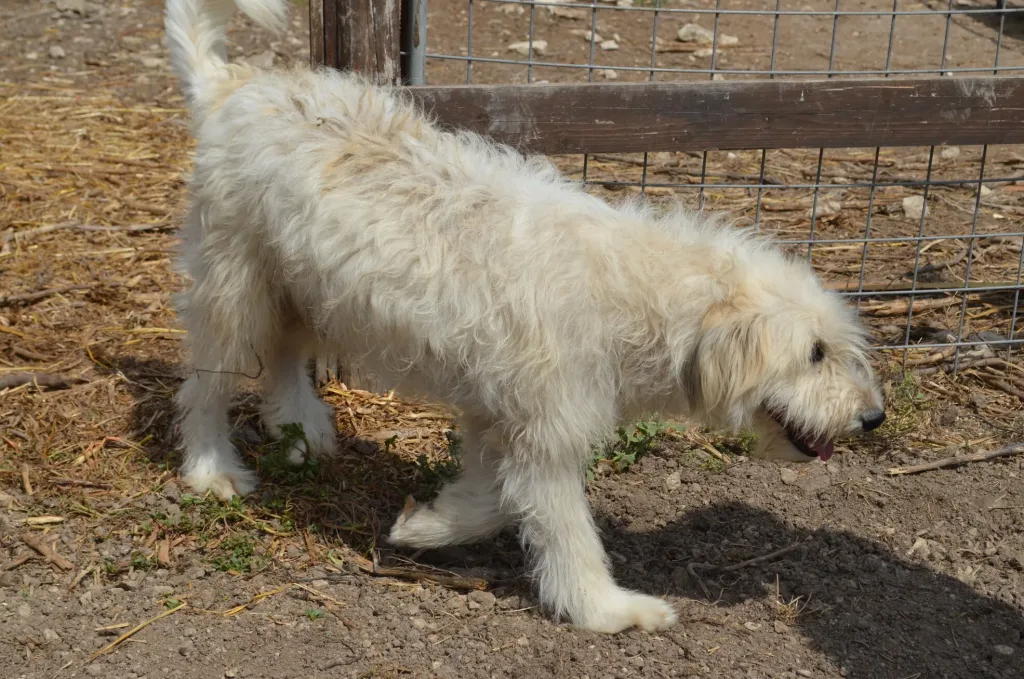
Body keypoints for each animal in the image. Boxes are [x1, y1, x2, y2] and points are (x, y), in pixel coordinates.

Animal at [167, 0, 888, 634]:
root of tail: (237, 85)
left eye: (838, 349)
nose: (872, 417)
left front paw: (428, 523)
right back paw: (212, 470)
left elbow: (490, 498)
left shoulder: (501, 412)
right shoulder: (548, 431)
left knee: (284, 356)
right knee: (203, 388)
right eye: (814, 353)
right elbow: (567, 532)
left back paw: (300, 426)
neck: (639, 291)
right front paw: (605, 610)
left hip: (300, 289)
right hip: (234, 292)